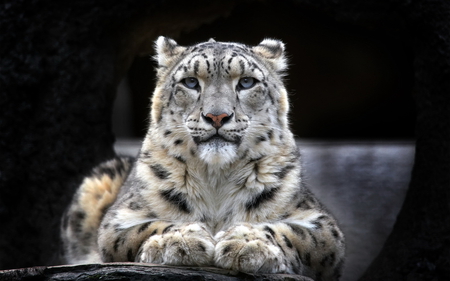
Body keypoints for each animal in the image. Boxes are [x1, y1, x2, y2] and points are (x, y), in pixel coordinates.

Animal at [61, 36, 344, 280]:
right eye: (190, 82)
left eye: (246, 82)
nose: (217, 116)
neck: (216, 178)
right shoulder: (119, 219)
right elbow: (148, 227)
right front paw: (178, 240)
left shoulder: (321, 223)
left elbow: (290, 232)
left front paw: (245, 243)